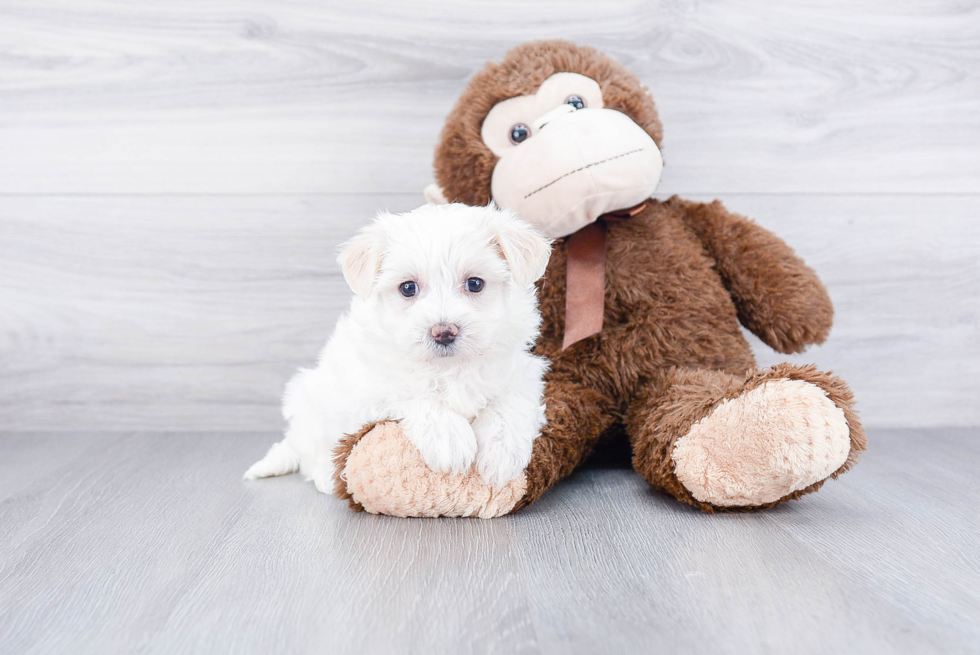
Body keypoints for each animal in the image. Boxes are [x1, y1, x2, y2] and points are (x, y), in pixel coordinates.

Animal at [244, 204, 552, 492]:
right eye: (407, 288)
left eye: (475, 283)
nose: (444, 332)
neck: (449, 367)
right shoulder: (370, 388)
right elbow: (411, 392)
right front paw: (449, 438)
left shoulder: (521, 373)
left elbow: (509, 403)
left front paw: (502, 452)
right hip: (313, 404)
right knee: (313, 455)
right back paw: (326, 476)